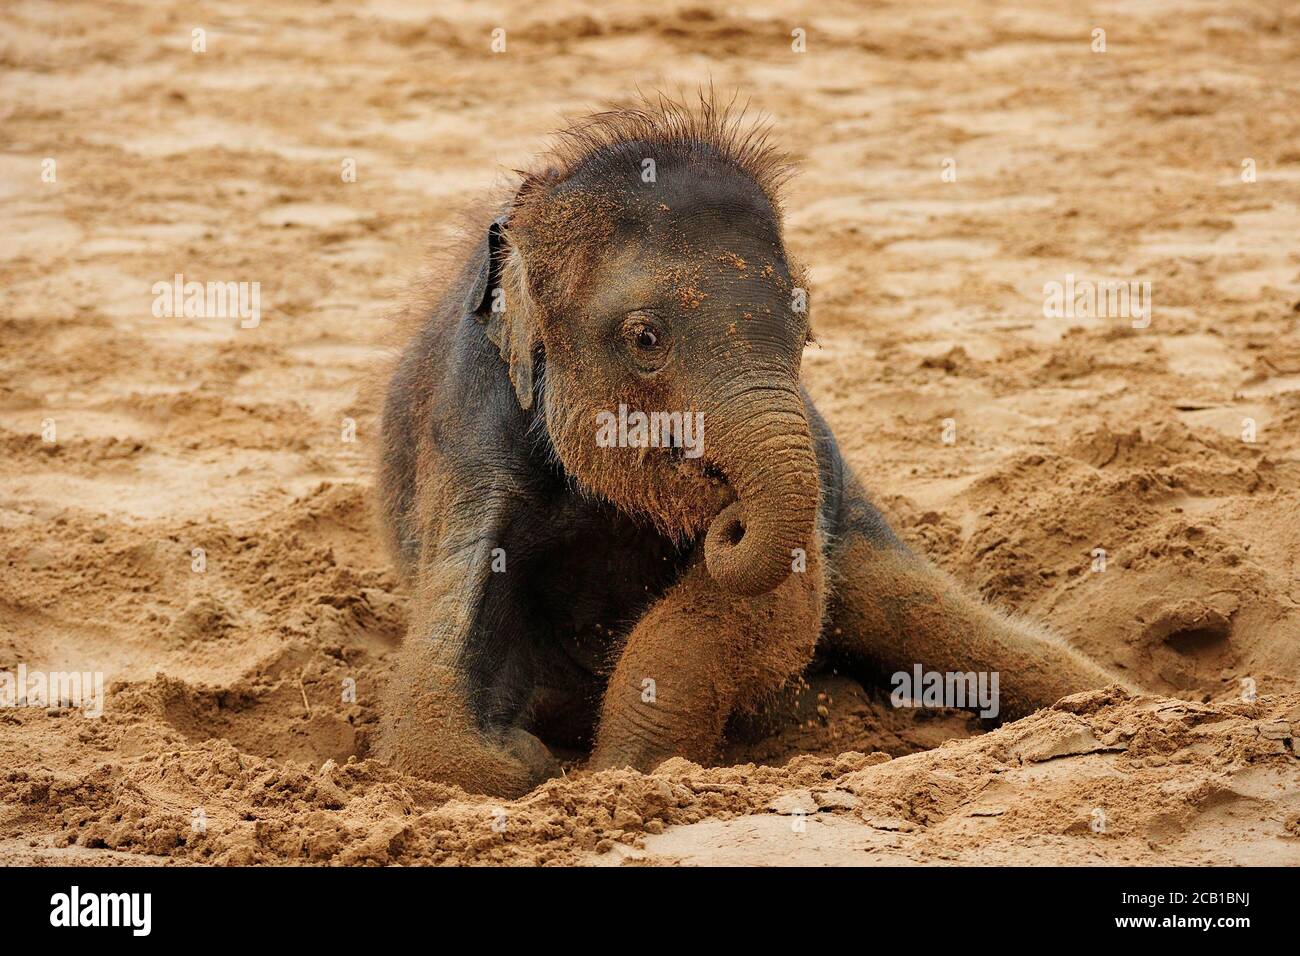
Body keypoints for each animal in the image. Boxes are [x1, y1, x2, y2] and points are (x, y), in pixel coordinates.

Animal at [374, 98, 1118, 801]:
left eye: (805, 329)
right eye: (646, 338)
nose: (729, 517)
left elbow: (770, 607)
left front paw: (619, 771)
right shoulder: (471, 442)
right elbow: (427, 726)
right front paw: (531, 761)